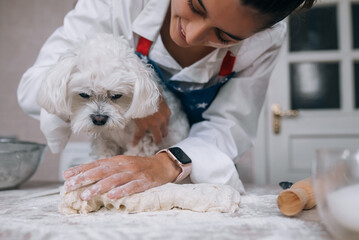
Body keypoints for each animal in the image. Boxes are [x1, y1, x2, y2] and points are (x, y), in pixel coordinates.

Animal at [37, 32, 190, 158]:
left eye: (117, 95)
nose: (99, 119)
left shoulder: (144, 139)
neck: (120, 128)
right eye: (84, 94)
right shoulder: (104, 141)